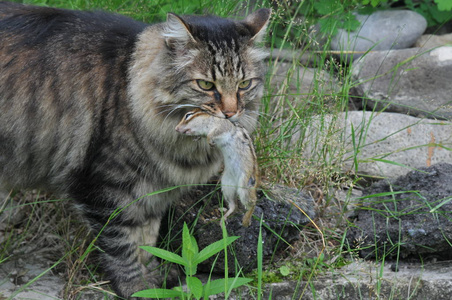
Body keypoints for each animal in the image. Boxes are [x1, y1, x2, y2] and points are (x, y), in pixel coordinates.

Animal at [0, 1, 268, 298]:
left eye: (244, 84)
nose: (231, 113)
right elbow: (121, 244)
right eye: (206, 85)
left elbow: (146, 242)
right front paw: (136, 287)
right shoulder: (104, 188)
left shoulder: (152, 194)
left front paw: (155, 277)